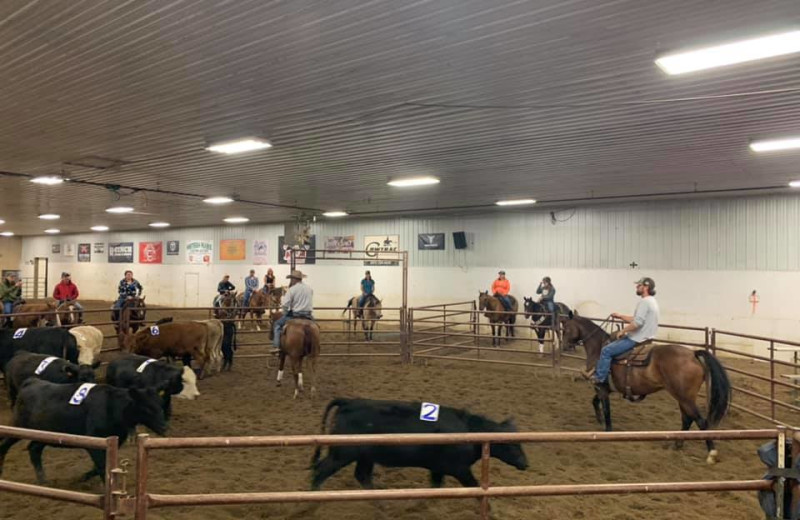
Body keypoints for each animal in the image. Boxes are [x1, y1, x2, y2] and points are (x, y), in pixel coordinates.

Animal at [0, 378, 166, 484]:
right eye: (148, 408)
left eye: (159, 404)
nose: (164, 427)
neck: (113, 406)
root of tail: (30, 382)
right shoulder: (93, 442)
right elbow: (102, 467)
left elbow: (100, 466)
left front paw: (82, 477)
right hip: (18, 428)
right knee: (5, 446)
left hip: (44, 435)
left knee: (34, 449)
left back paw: (43, 480)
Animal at [310, 398, 528, 492]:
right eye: (511, 444)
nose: (526, 464)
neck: (468, 430)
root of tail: (349, 402)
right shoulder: (459, 469)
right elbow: (474, 487)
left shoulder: (438, 469)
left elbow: (435, 488)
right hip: (342, 453)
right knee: (321, 471)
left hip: (365, 457)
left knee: (362, 476)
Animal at [564, 310, 732, 466]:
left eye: (565, 329)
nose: (565, 347)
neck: (599, 348)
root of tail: (693, 354)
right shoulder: (604, 389)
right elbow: (594, 402)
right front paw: (599, 420)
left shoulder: (602, 387)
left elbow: (606, 410)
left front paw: (607, 430)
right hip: (682, 397)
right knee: (687, 419)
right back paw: (677, 444)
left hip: (685, 397)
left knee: (701, 421)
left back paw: (711, 453)